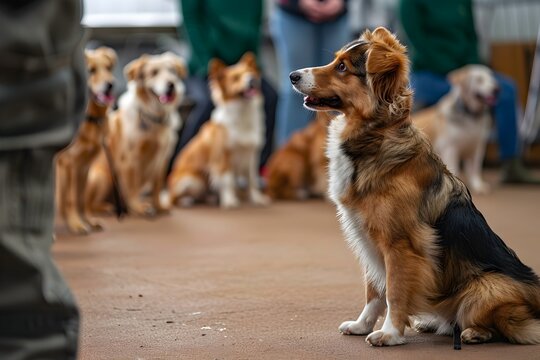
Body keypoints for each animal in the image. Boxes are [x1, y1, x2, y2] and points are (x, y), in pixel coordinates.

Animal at [56, 46, 117, 235]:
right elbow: (71, 199)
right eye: (91, 71)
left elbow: (81, 198)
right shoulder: (68, 164)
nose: (110, 85)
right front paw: (76, 224)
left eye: (108, 68)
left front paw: (87, 221)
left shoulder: (84, 167)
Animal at [85, 51, 186, 217]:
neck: (154, 117)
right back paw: (106, 208)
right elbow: (133, 186)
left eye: (172, 71)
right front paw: (138, 207)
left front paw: (159, 206)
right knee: (88, 205)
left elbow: (157, 186)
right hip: (102, 177)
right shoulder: (130, 158)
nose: (171, 84)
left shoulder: (162, 157)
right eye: (154, 73)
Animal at [168, 51, 268, 208]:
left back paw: (210, 198)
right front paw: (230, 201)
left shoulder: (252, 156)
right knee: (173, 198)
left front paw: (256, 199)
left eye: (250, 73)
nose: (252, 80)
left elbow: (252, 181)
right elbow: (228, 180)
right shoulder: (223, 156)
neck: (243, 113)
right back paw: (186, 201)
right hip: (192, 181)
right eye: (236, 78)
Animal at [416, 64, 500, 194]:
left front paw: (478, 185)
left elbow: (475, 169)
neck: (470, 116)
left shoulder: (477, 148)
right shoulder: (450, 149)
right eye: (479, 79)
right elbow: (455, 169)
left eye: (492, 78)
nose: (496, 89)